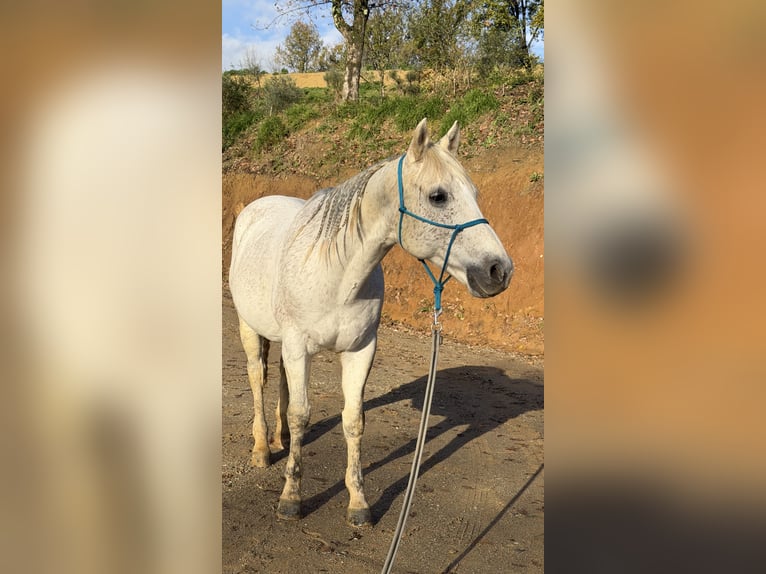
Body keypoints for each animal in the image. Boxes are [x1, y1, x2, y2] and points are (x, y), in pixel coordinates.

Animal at [229, 118, 513, 526]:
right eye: (438, 196)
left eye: (473, 193)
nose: (499, 270)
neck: (337, 272)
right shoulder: (299, 347)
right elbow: (301, 414)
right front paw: (291, 497)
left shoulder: (361, 350)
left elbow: (353, 420)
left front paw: (358, 502)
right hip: (250, 329)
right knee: (258, 378)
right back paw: (262, 449)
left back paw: (279, 438)